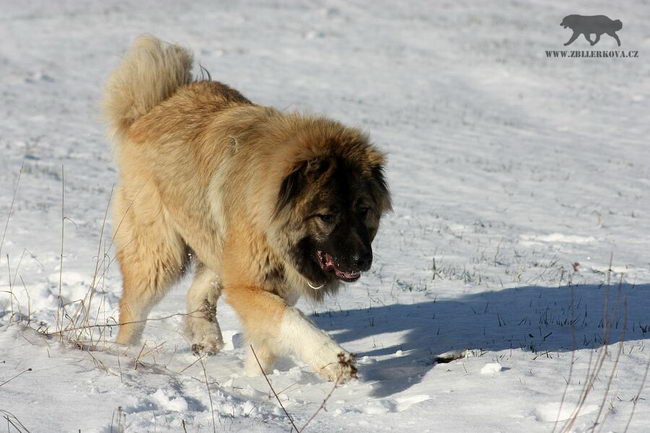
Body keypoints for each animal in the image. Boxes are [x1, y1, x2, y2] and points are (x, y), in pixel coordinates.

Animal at [104, 35, 390, 380]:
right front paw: (333, 360)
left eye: (363, 211)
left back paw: (207, 337)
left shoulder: (273, 281)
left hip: (214, 240)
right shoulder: (249, 284)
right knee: (133, 307)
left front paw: (256, 383)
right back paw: (124, 353)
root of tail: (154, 106)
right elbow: (292, 320)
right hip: (161, 254)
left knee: (197, 290)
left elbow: (266, 343)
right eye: (326, 216)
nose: (362, 260)